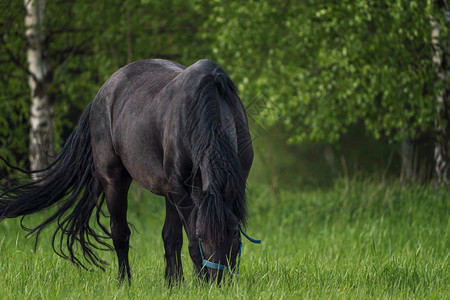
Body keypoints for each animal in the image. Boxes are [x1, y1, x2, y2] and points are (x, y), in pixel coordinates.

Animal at [0, 58, 253, 284]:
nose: (219, 282)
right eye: (203, 235)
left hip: (167, 191)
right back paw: (124, 282)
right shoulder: (182, 193)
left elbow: (175, 238)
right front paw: (199, 283)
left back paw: (173, 283)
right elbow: (191, 243)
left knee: (169, 237)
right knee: (120, 233)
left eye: (234, 232)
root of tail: (102, 94)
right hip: (115, 181)